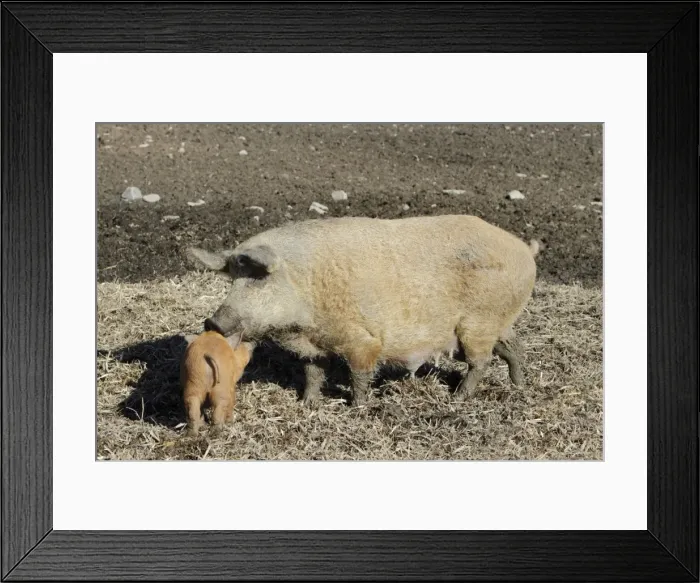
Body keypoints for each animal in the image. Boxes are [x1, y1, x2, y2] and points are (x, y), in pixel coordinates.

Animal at [186, 214, 539, 407]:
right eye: (233, 279)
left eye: (259, 278)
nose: (213, 321)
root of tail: (524, 250)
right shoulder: (313, 345)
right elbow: (313, 372)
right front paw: (307, 403)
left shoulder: (361, 339)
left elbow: (360, 372)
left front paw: (357, 406)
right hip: (498, 322)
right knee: (513, 347)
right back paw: (519, 385)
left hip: (477, 324)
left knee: (481, 361)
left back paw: (458, 398)